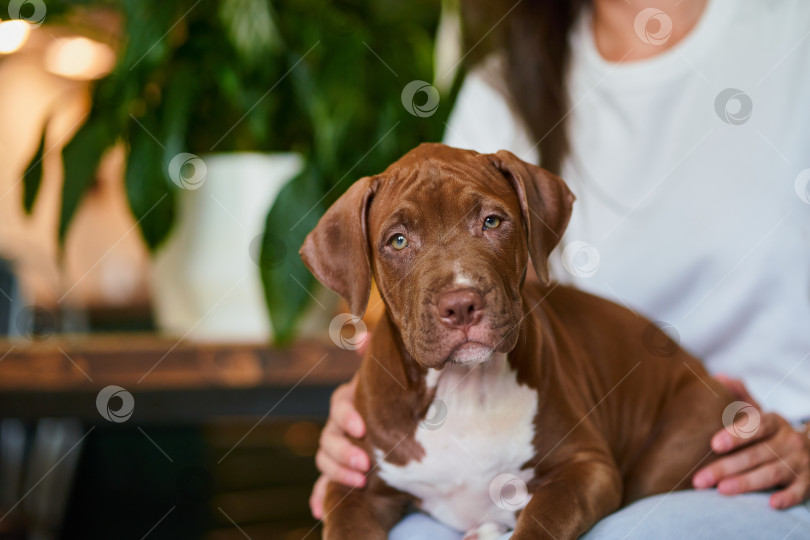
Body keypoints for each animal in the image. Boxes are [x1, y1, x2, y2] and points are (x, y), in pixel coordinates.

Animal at [302, 144, 732, 540]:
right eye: (398, 241)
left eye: (492, 221)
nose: (460, 304)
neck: (464, 387)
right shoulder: (354, 488)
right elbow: (346, 529)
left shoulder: (586, 465)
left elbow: (542, 519)